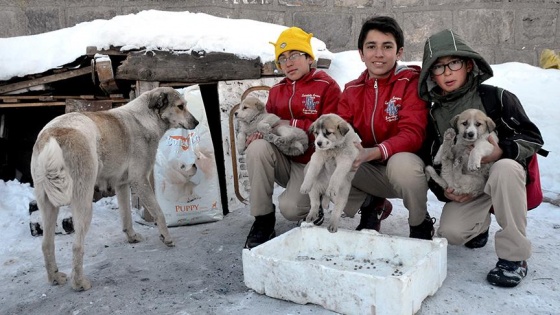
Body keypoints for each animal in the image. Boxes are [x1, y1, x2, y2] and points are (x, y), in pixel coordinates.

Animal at [30, 87, 199, 292]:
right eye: (180, 106)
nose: (197, 122)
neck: (146, 117)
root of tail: (51, 134)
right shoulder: (139, 180)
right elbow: (159, 213)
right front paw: (166, 238)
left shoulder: (122, 184)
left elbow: (126, 216)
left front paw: (132, 237)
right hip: (83, 203)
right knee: (77, 246)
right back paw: (79, 283)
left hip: (47, 205)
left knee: (46, 244)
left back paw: (55, 278)